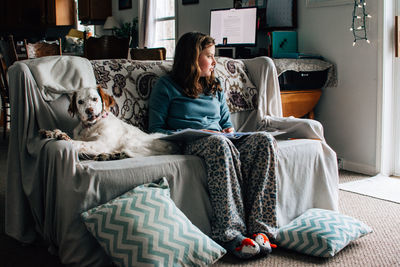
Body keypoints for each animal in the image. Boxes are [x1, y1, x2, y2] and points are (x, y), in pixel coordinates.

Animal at [40, 87, 178, 160]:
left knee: (139, 154)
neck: (91, 126)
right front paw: (52, 132)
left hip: (132, 141)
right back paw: (112, 155)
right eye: (80, 102)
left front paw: (64, 138)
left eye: (95, 99)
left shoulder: (101, 143)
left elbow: (80, 143)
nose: (89, 111)